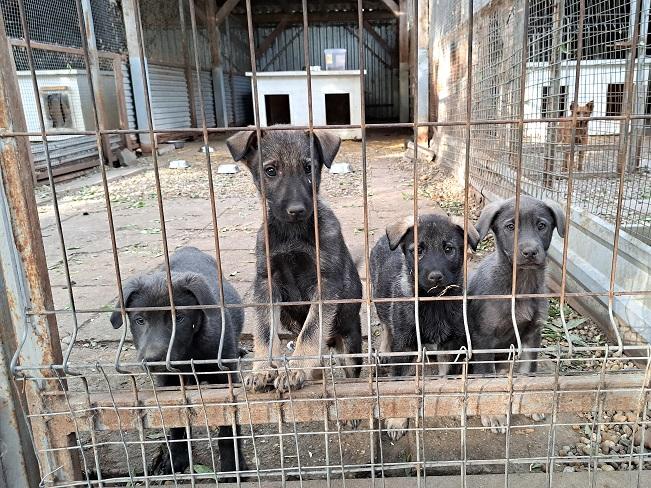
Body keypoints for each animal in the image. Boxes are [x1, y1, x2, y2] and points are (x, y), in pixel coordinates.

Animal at [109, 246, 247, 477]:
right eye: (140, 320)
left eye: (179, 318)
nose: (153, 360)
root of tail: (189, 248)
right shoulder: (168, 383)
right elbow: (176, 423)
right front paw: (176, 460)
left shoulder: (225, 378)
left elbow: (228, 428)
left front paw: (232, 466)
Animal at [226, 129, 362, 393]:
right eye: (270, 170)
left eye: (309, 168)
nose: (297, 210)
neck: (292, 234)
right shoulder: (266, 283)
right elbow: (264, 332)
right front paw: (262, 370)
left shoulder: (324, 285)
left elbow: (311, 331)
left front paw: (294, 368)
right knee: (318, 365)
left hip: (350, 346)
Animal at [371, 213, 479, 440]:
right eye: (418, 250)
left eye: (448, 249)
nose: (435, 277)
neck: (433, 302)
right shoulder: (405, 346)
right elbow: (400, 385)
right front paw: (396, 420)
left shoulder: (450, 344)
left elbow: (446, 376)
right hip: (379, 298)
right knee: (386, 326)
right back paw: (384, 350)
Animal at [468, 196, 565, 433]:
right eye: (510, 227)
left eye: (542, 225)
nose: (530, 252)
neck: (521, 284)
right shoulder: (484, 338)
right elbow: (486, 377)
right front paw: (493, 414)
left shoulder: (532, 334)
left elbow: (529, 370)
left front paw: (530, 403)